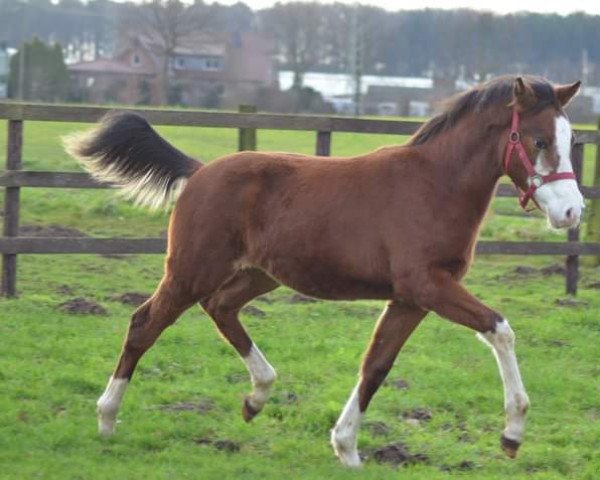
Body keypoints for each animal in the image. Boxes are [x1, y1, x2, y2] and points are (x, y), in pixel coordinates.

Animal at [64, 75, 580, 464]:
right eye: (537, 140)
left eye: (572, 140)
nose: (572, 212)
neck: (435, 186)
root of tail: (200, 171)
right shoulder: (429, 285)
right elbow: (500, 329)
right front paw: (512, 433)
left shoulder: (410, 298)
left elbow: (376, 365)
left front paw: (346, 448)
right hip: (192, 269)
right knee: (144, 323)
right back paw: (107, 419)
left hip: (259, 273)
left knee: (221, 308)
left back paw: (257, 396)